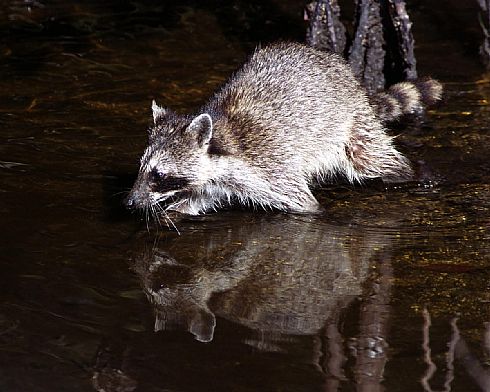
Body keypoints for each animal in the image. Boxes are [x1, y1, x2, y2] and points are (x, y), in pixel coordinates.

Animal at [124, 41, 442, 216]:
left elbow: (305, 204)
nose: (129, 203)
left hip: (351, 125)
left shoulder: (270, 169)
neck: (222, 140)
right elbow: (198, 199)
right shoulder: (216, 180)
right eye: (141, 169)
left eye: (158, 175)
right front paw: (175, 213)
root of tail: (351, 79)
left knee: (373, 158)